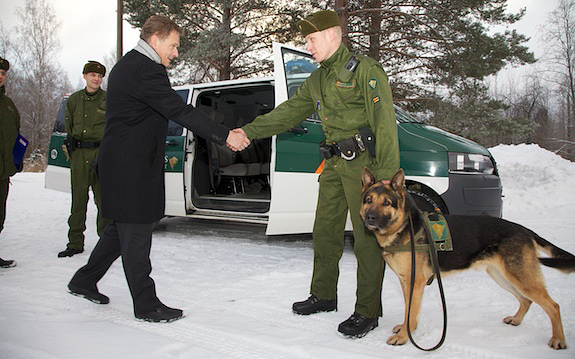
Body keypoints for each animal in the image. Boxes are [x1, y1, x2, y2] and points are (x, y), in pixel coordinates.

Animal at [360, 169, 575, 352]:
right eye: (369, 200)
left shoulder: (415, 282)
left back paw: (558, 340)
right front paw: (406, 328)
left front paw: (404, 337)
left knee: (553, 306)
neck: (403, 227)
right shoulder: (406, 282)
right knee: (526, 300)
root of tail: (524, 230)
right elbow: (408, 311)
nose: (370, 217)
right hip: (502, 276)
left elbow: (411, 311)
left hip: (521, 278)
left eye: (387, 203)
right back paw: (516, 320)